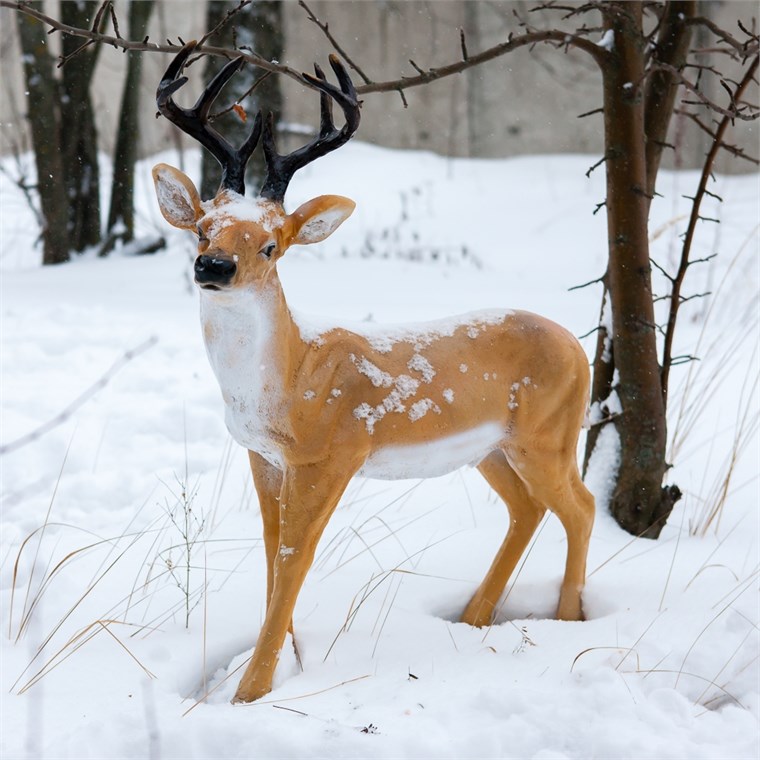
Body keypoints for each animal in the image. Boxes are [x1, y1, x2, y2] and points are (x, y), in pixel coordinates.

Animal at [152, 42, 595, 704]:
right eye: (204, 229)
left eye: (271, 246)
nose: (213, 266)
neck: (285, 381)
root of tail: (578, 344)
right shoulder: (262, 456)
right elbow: (269, 554)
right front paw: (281, 668)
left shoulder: (330, 454)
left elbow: (294, 559)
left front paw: (250, 692)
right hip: (492, 449)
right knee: (529, 508)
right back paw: (474, 619)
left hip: (548, 434)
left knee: (581, 506)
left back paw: (568, 620)